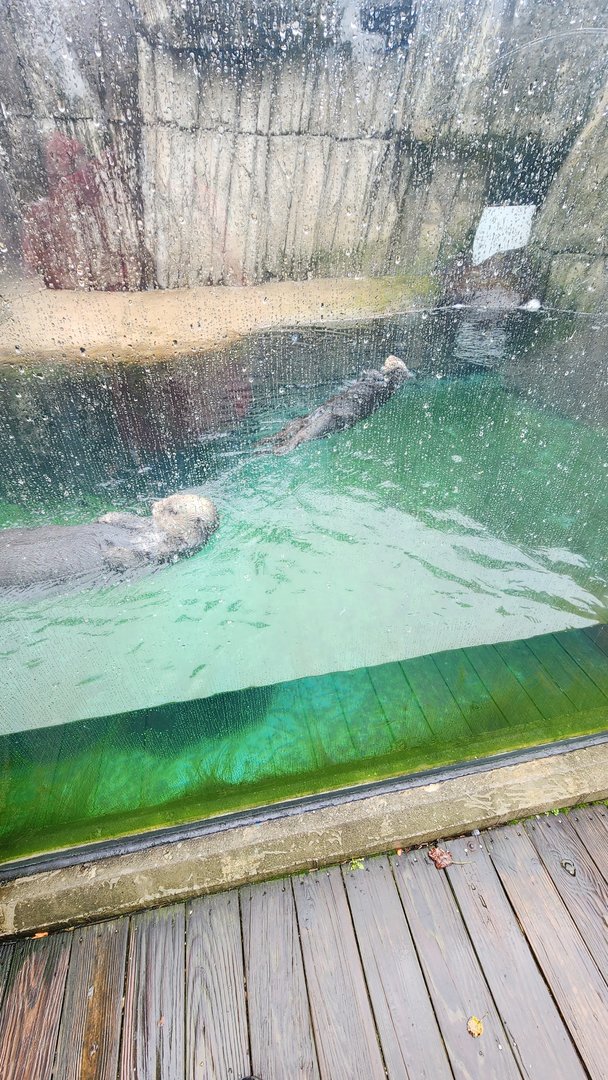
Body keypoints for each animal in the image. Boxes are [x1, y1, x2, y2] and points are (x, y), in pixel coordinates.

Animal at [0, 492, 218, 592]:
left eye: (172, 511)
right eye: (168, 498)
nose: (154, 505)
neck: (157, 533)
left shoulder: (171, 550)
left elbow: (135, 557)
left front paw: (111, 551)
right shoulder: (143, 525)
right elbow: (127, 520)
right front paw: (106, 517)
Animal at [258, 356, 414, 455]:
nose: (390, 357)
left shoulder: (386, 384)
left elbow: (378, 376)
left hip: (322, 424)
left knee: (297, 438)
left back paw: (275, 449)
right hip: (301, 421)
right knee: (287, 432)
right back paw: (263, 442)